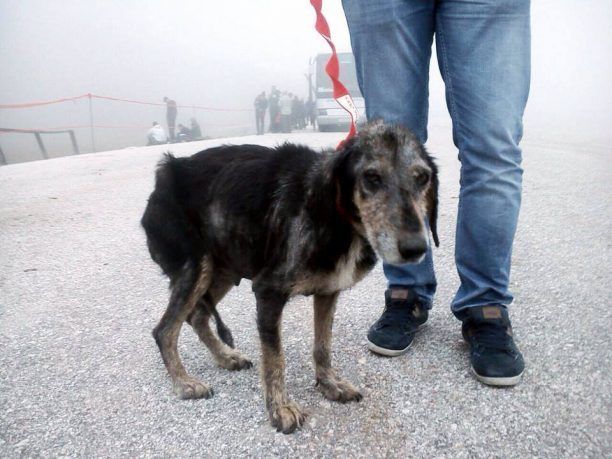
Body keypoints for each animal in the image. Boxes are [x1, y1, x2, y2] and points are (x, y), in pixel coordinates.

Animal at [141, 119, 438, 434]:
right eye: (371, 177)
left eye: (423, 178)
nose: (416, 249)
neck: (335, 214)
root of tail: (165, 171)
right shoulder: (268, 292)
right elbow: (275, 359)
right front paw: (280, 409)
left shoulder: (328, 292)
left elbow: (322, 346)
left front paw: (329, 385)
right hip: (197, 267)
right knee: (164, 330)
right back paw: (184, 383)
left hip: (222, 267)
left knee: (196, 316)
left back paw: (226, 357)